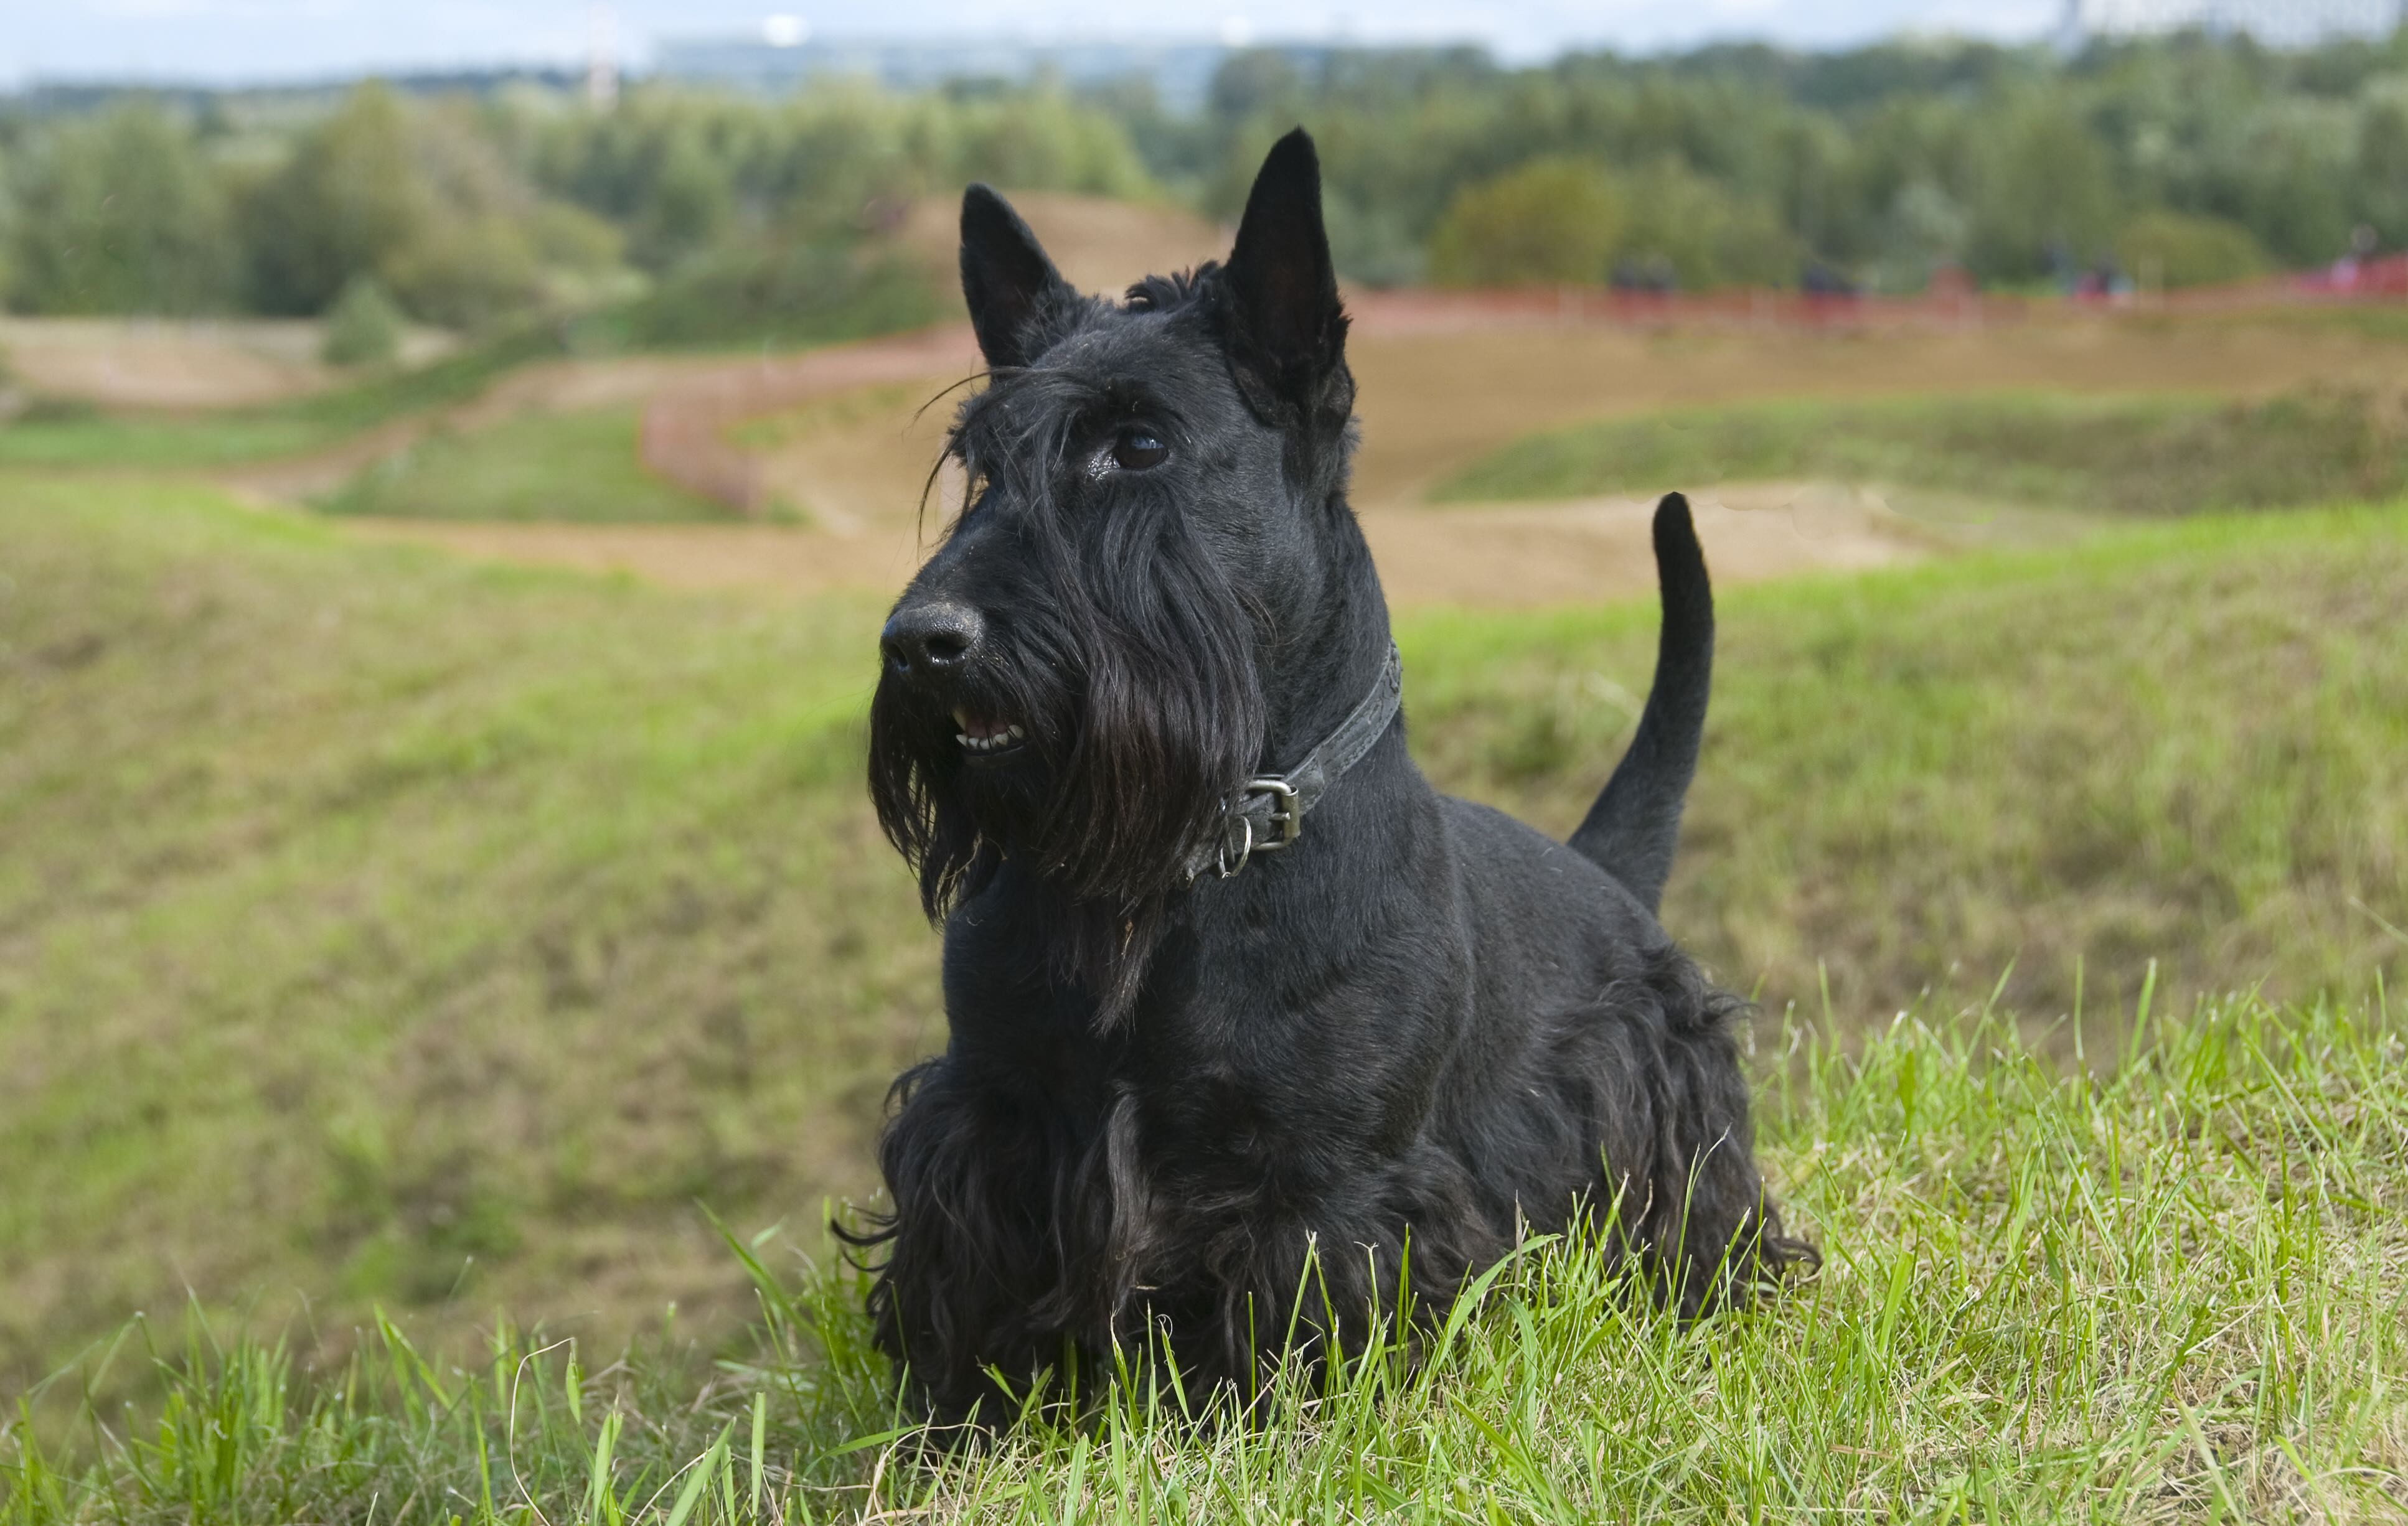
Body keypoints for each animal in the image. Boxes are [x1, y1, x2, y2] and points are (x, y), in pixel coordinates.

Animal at [852, 124, 1810, 1425]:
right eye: (980, 463)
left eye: (1137, 443)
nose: (921, 640)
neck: (1188, 863)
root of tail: (1607, 879)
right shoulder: (991, 1124)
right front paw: (957, 1435)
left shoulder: (1329, 1185)